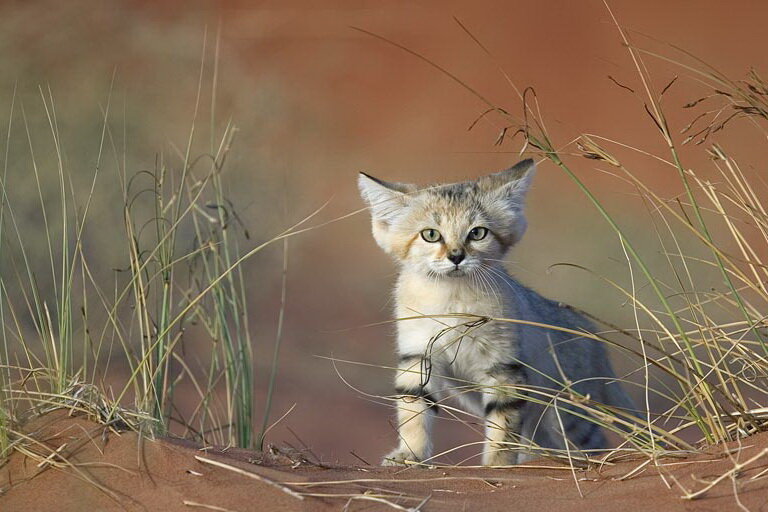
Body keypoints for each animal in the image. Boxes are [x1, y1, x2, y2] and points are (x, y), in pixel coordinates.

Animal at [356, 160, 632, 468]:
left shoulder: (502, 365)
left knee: (592, 442)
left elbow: (503, 423)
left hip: (568, 412)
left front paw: (497, 464)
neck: (452, 299)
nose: (456, 256)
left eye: (477, 233)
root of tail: (592, 334)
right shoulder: (418, 354)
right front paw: (409, 455)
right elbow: (414, 408)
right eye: (431, 234)